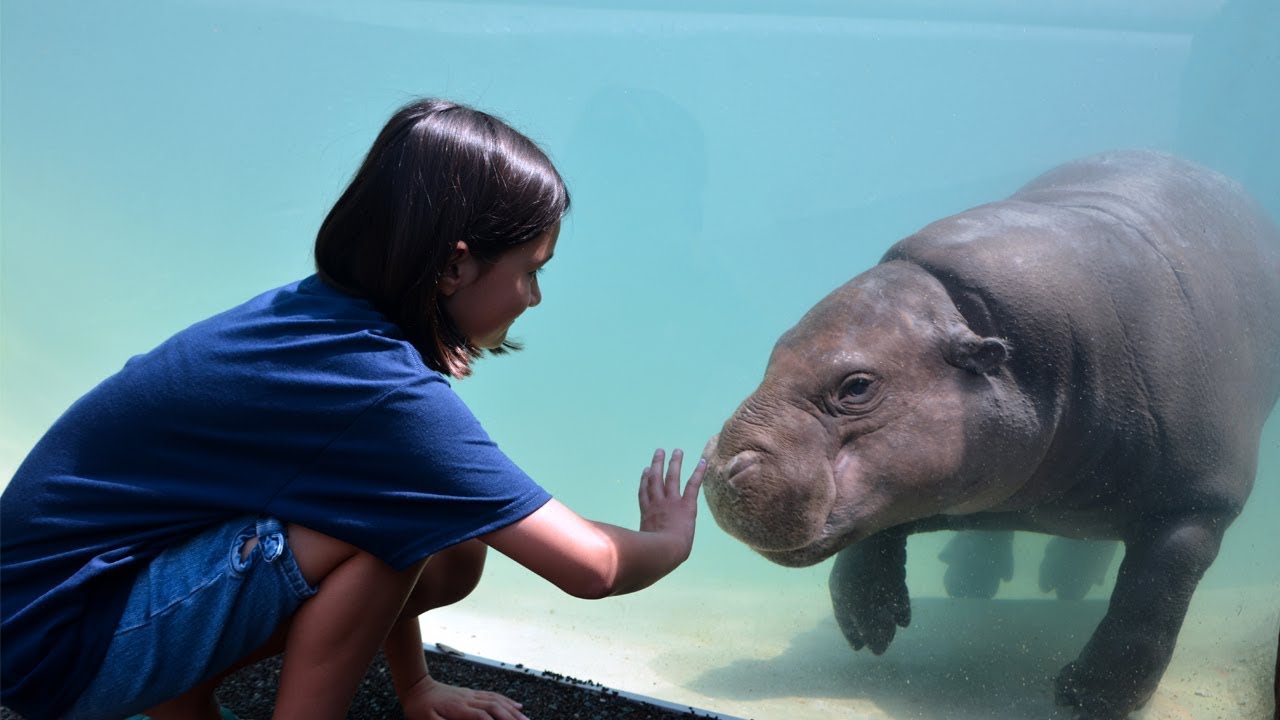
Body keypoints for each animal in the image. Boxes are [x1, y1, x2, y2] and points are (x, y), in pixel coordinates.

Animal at [703, 150, 1280, 719]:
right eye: (776, 350)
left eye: (858, 386)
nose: (720, 467)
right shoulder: (931, 484)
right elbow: (875, 528)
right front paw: (869, 626)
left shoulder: (1197, 507)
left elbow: (1149, 602)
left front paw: (1088, 699)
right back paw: (971, 583)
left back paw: (1061, 587)